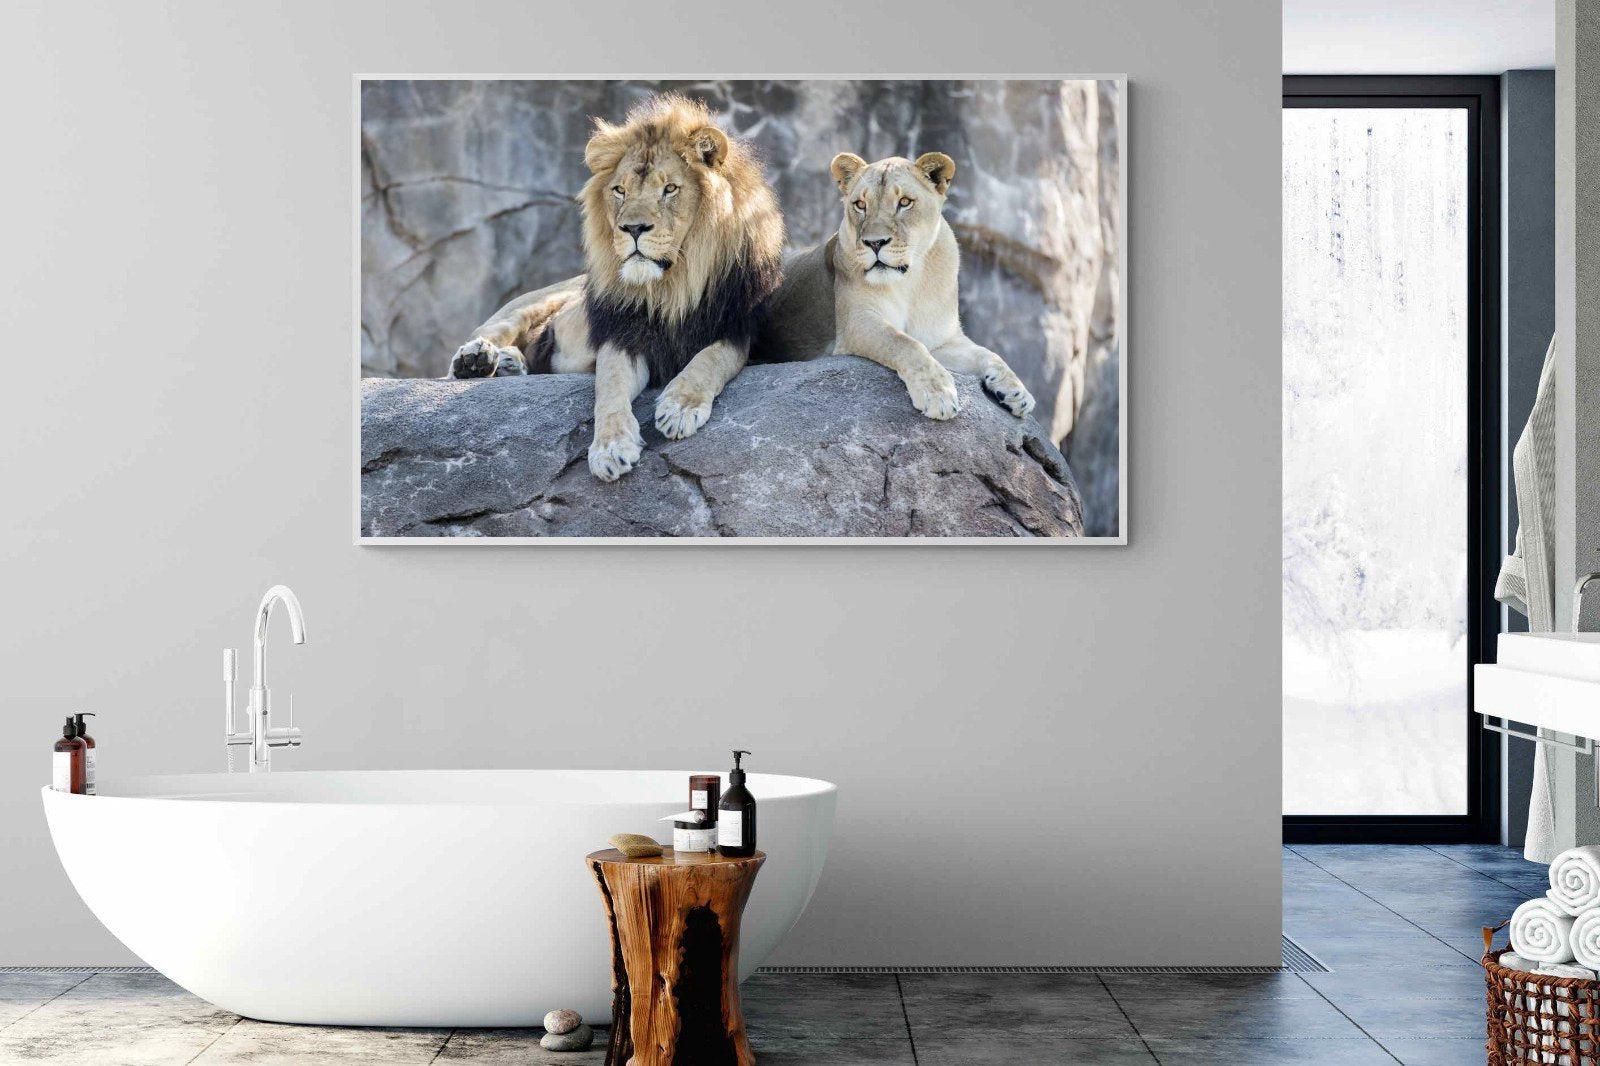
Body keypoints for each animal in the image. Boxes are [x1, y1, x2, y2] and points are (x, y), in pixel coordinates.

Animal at [447, 94, 784, 482]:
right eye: (619, 191)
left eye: (670, 189)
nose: (633, 228)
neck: (672, 287)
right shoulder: (622, 334)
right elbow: (608, 386)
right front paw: (610, 448)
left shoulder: (738, 329)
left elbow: (710, 359)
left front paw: (680, 407)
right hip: (535, 301)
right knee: (492, 331)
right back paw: (477, 359)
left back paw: (508, 364)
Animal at [756, 151, 1035, 422]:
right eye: (860, 205)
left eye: (904, 202)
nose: (874, 243)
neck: (910, 281)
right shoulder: (856, 322)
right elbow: (904, 343)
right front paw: (937, 393)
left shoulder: (941, 340)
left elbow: (988, 354)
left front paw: (1016, 391)